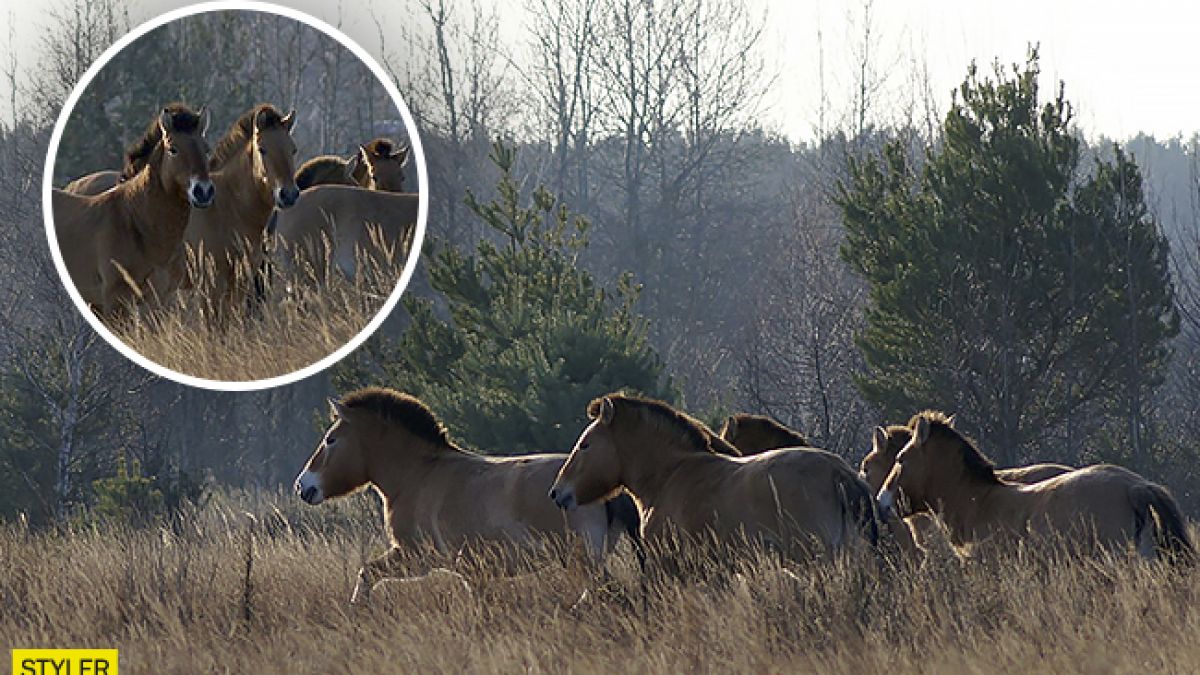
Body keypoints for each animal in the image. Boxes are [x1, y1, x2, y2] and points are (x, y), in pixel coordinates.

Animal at [157, 103, 300, 309]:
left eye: (293, 150)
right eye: (262, 149)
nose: (288, 194)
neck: (225, 209)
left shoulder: (239, 283)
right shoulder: (211, 285)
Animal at [294, 386, 643, 600]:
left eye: (330, 440)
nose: (303, 486)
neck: (419, 475)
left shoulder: (414, 557)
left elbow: (367, 572)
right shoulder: (471, 572)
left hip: (583, 560)